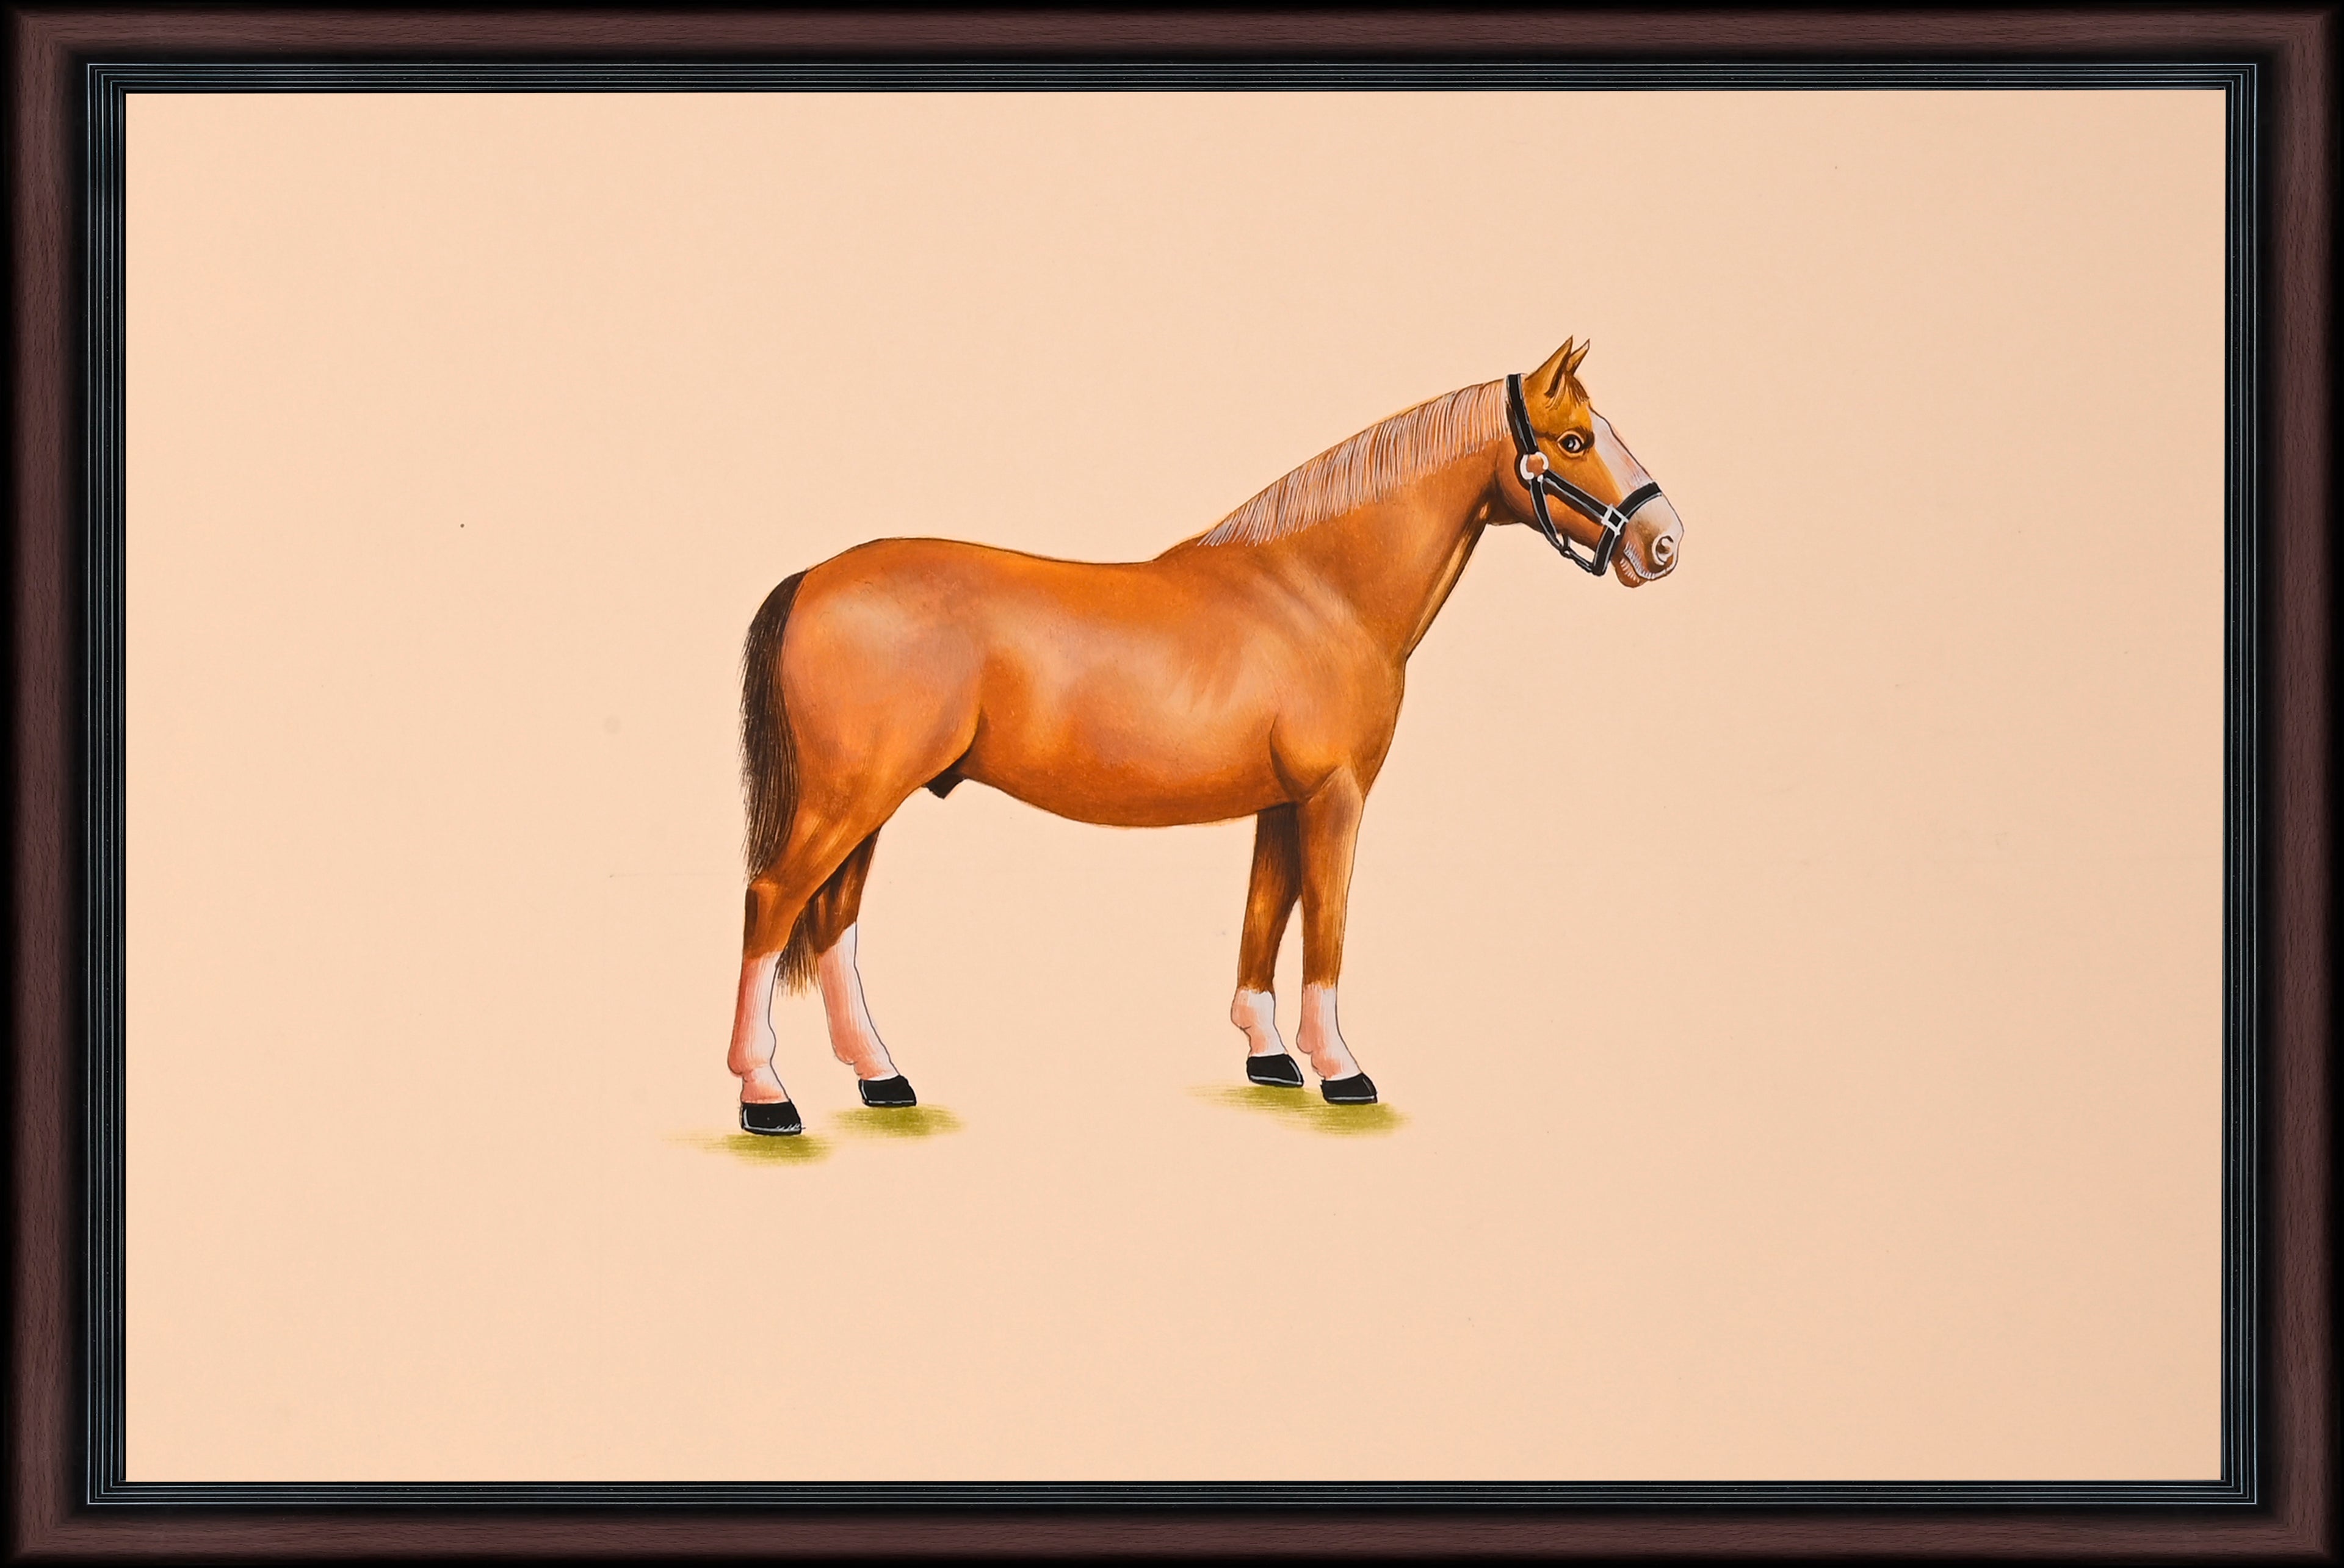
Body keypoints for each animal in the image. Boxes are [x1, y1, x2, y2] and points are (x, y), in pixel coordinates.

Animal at [727, 339, 1683, 1135]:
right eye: (1572, 441)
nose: (1664, 540)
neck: (1318, 590)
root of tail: (813, 577)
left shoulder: (1281, 803)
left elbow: (1266, 915)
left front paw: (1270, 1056)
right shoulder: (1335, 797)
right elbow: (1325, 928)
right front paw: (1341, 1070)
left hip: (869, 801)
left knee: (834, 921)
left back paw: (881, 1078)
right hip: (849, 799)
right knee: (773, 902)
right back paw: (766, 1096)